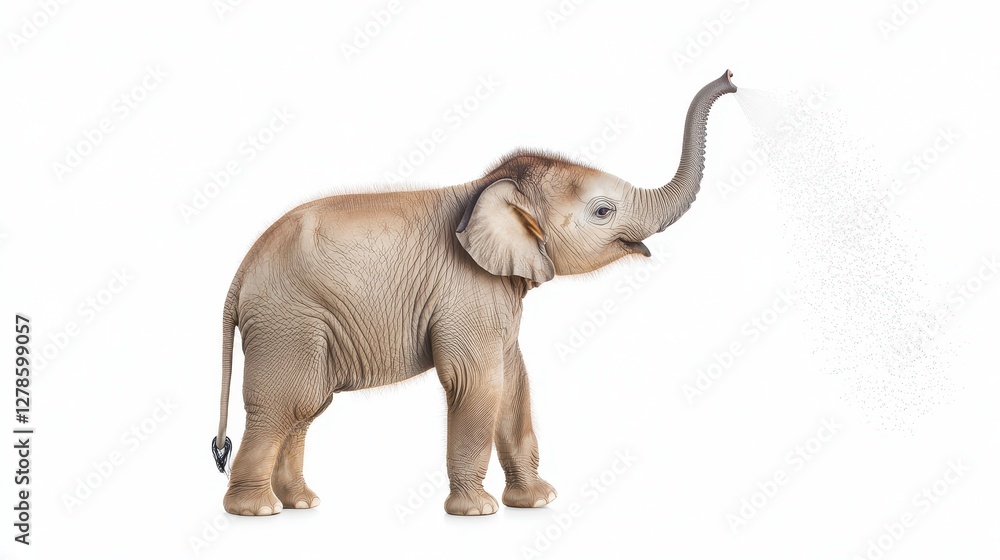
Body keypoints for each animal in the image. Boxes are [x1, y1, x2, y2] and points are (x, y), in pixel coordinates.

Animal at [211, 70, 737, 516]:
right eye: (603, 211)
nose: (731, 79)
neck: (488, 186)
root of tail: (240, 273)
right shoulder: (465, 289)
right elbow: (476, 381)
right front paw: (478, 511)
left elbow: (514, 379)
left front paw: (538, 501)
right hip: (288, 320)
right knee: (285, 402)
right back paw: (256, 511)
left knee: (306, 407)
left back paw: (302, 503)